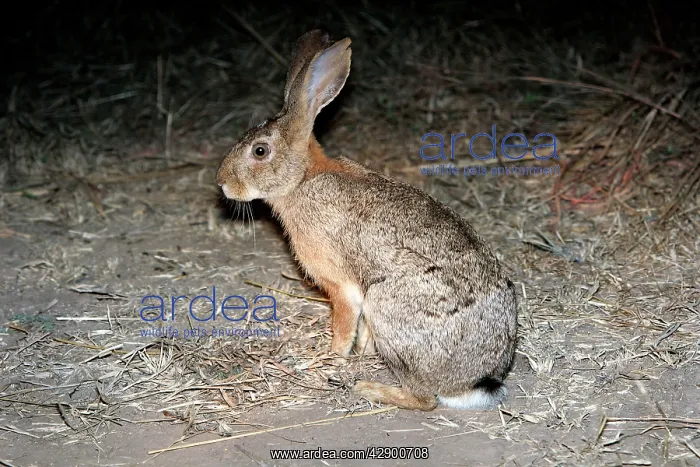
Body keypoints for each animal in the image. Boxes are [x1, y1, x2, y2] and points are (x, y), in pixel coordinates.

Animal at [216, 29, 518, 411]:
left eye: (259, 151)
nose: (222, 183)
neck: (301, 179)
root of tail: (477, 381)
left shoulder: (341, 284)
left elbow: (344, 323)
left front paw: (332, 357)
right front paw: (362, 352)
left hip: (387, 307)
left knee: (425, 399)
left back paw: (369, 388)